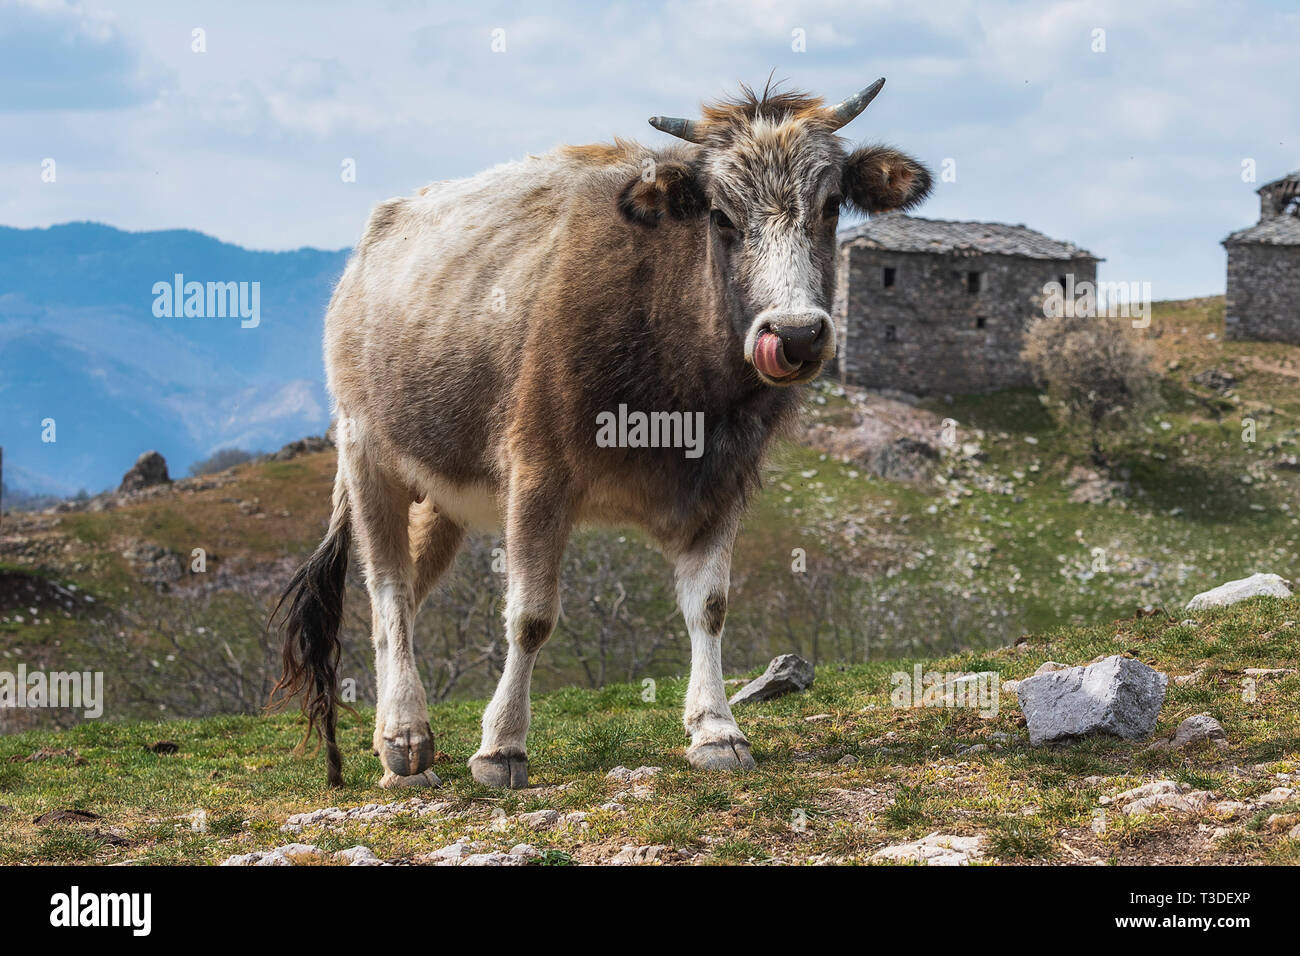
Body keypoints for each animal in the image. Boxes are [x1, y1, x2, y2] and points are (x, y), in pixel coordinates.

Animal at [271, 78, 931, 788]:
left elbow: (709, 606)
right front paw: (502, 746)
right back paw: (405, 737)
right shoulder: (538, 471)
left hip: (444, 493)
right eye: (720, 216)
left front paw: (716, 729)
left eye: (832, 206)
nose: (798, 335)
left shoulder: (725, 480)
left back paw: (394, 748)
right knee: (389, 590)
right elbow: (531, 616)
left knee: (404, 603)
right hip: (368, 454)